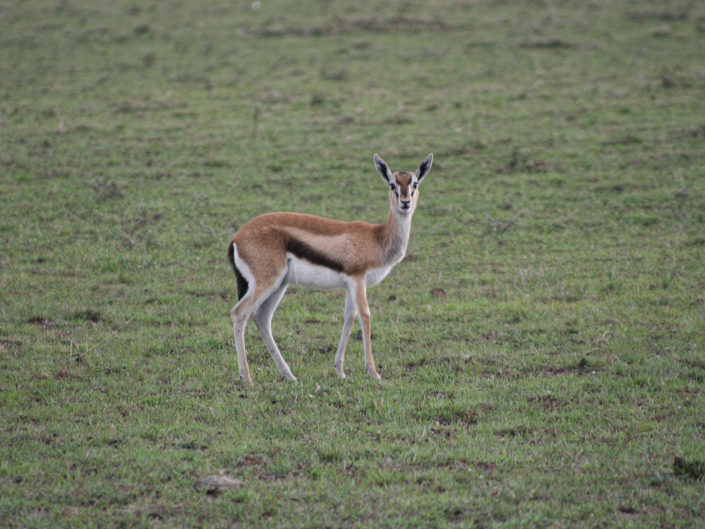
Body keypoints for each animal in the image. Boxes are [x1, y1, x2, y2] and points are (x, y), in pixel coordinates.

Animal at [227, 153, 433, 383]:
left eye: (415, 183)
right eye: (392, 184)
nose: (405, 202)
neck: (377, 238)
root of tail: (236, 238)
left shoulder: (351, 284)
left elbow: (349, 318)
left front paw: (340, 371)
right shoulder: (357, 279)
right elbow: (365, 316)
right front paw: (374, 372)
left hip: (279, 285)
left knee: (262, 318)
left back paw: (289, 375)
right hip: (266, 283)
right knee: (239, 313)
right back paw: (247, 377)